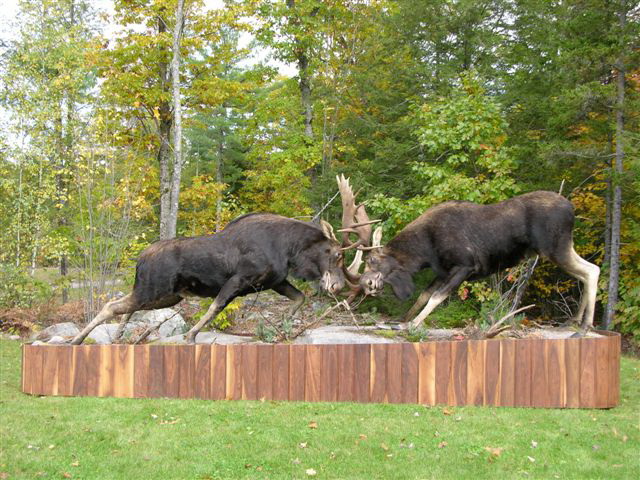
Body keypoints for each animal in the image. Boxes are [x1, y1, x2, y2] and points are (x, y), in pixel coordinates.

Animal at [72, 214, 348, 344]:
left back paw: (118, 335)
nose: (338, 286)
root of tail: (140, 259)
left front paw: (284, 324)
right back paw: (76, 339)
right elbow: (215, 307)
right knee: (111, 306)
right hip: (153, 290)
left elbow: (299, 298)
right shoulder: (239, 280)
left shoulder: (274, 282)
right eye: (337, 254)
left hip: (166, 296)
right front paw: (191, 335)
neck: (291, 250)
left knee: (125, 308)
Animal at [360, 191, 600, 330]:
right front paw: (403, 319)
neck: (424, 251)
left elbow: (436, 297)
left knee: (592, 270)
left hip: (555, 248)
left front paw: (414, 323)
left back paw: (586, 325)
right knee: (586, 272)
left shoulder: (464, 266)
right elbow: (423, 296)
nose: (365, 284)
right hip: (561, 249)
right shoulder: (444, 271)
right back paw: (573, 321)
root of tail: (572, 209)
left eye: (371, 260)